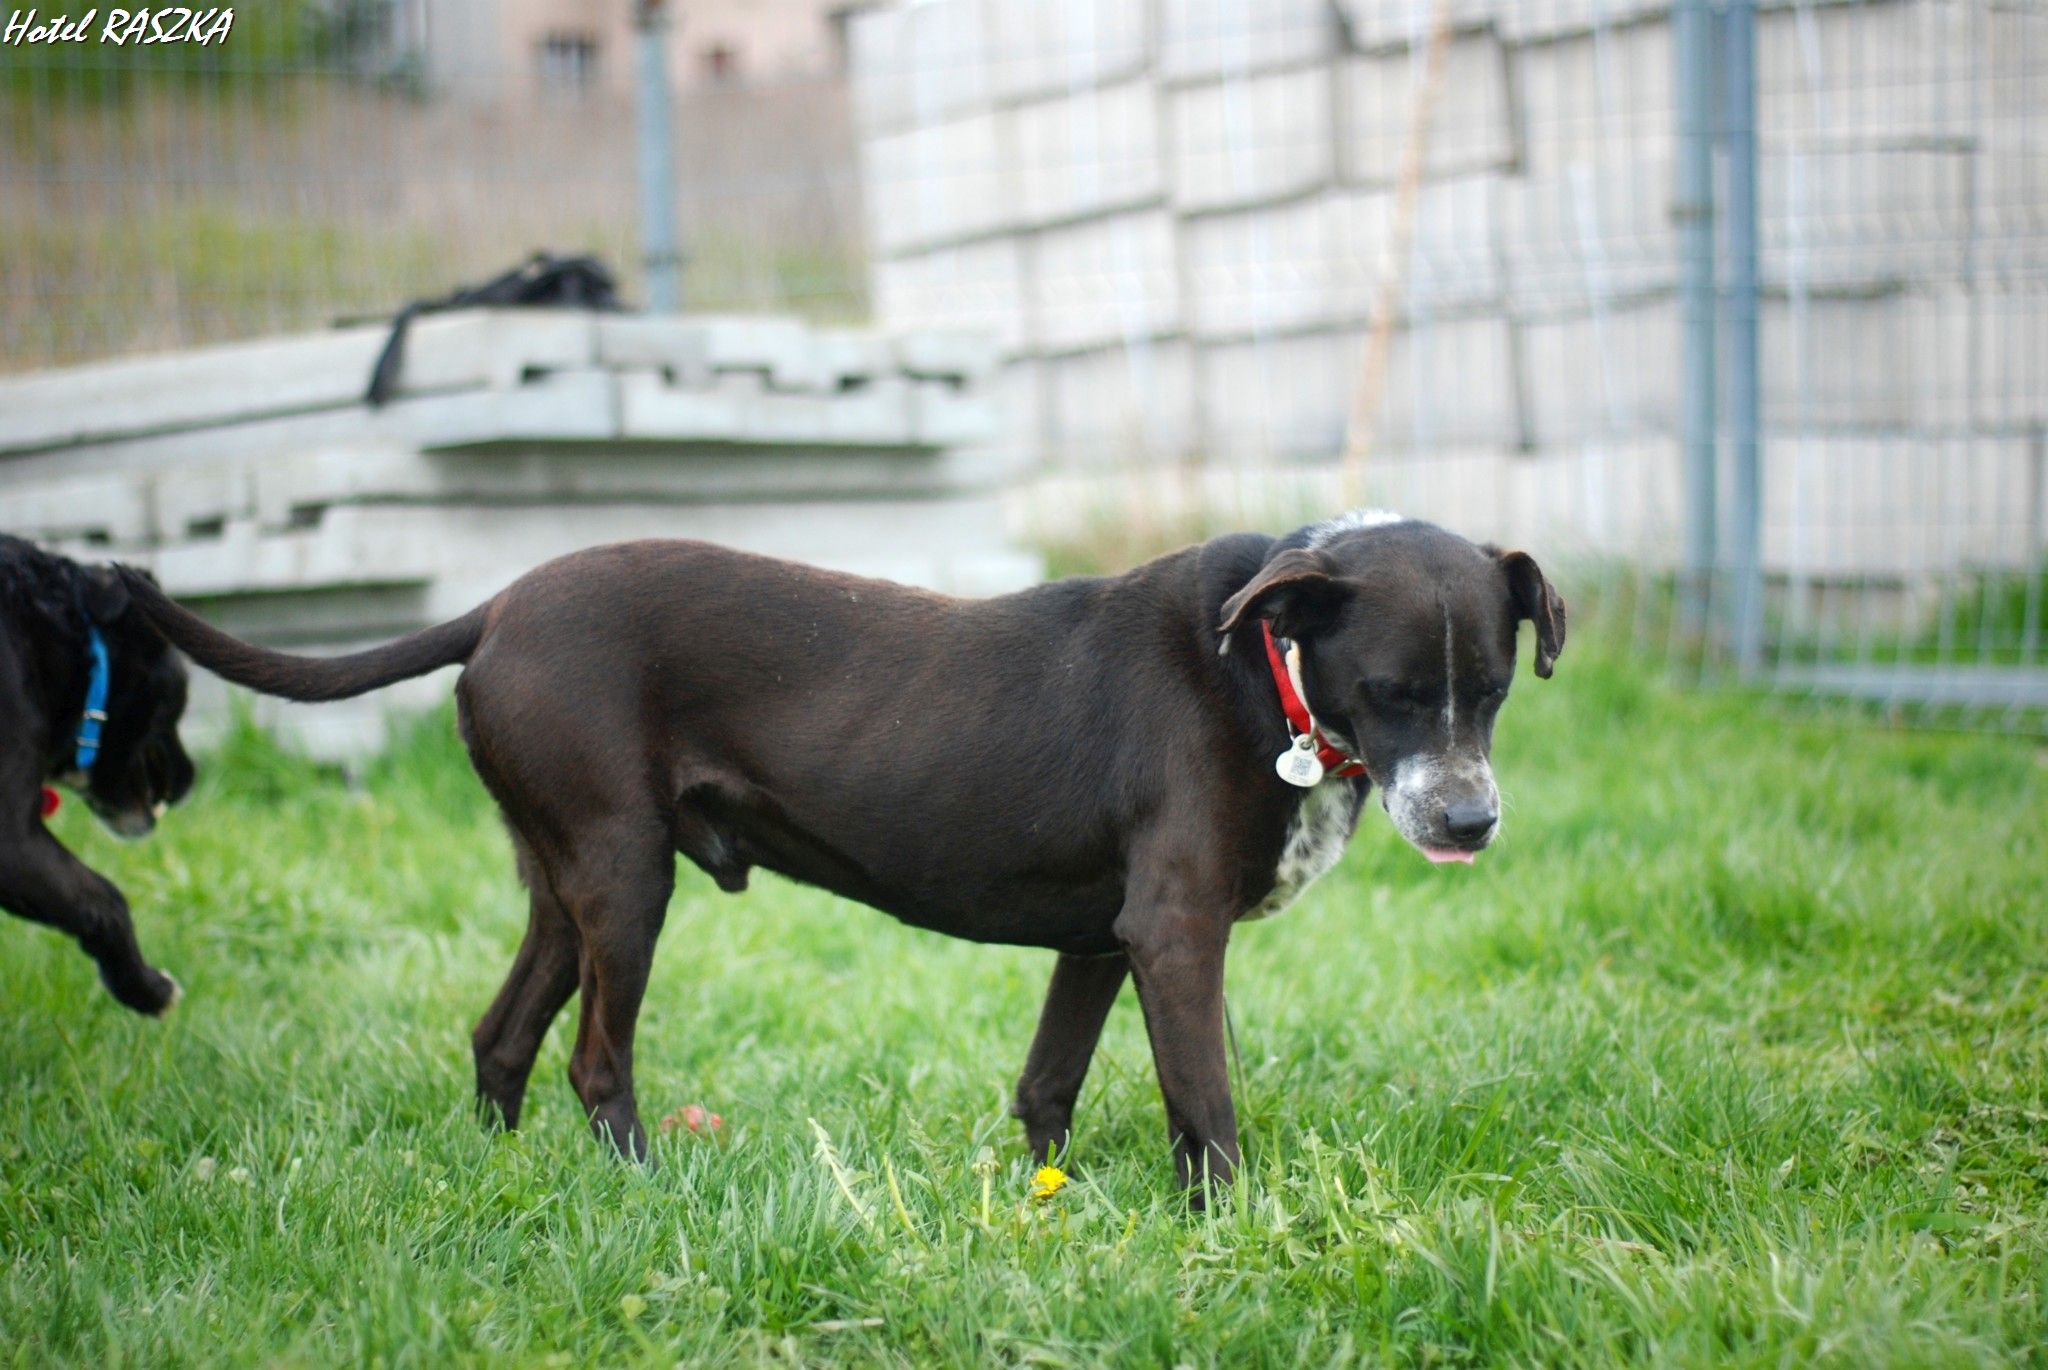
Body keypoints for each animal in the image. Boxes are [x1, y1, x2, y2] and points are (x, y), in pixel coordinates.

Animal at [118, 512, 1563, 1195]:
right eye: (1390, 691)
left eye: (1494, 691)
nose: (1470, 823)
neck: (1264, 662)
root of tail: (494, 609)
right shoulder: (1173, 931)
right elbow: (1204, 1106)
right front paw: (1227, 1224)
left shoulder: (1101, 939)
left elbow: (1047, 1084)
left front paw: (1046, 1195)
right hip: (626, 881)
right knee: (594, 1056)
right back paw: (643, 1184)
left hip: (563, 882)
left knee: (500, 1032)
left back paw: (499, 1171)